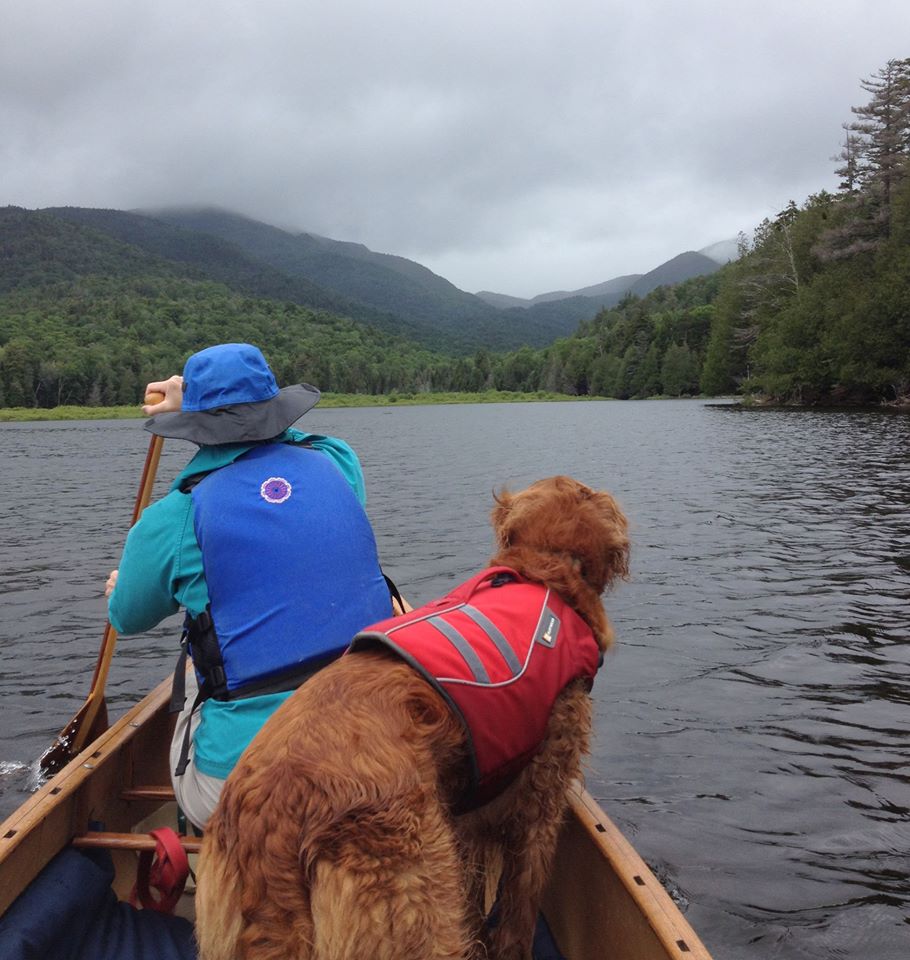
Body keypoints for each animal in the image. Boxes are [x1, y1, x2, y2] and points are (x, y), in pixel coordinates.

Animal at [196, 478, 632, 960]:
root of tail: (272, 817)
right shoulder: (542, 800)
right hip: (416, 901)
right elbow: (520, 909)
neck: (544, 569)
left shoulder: (470, 816)